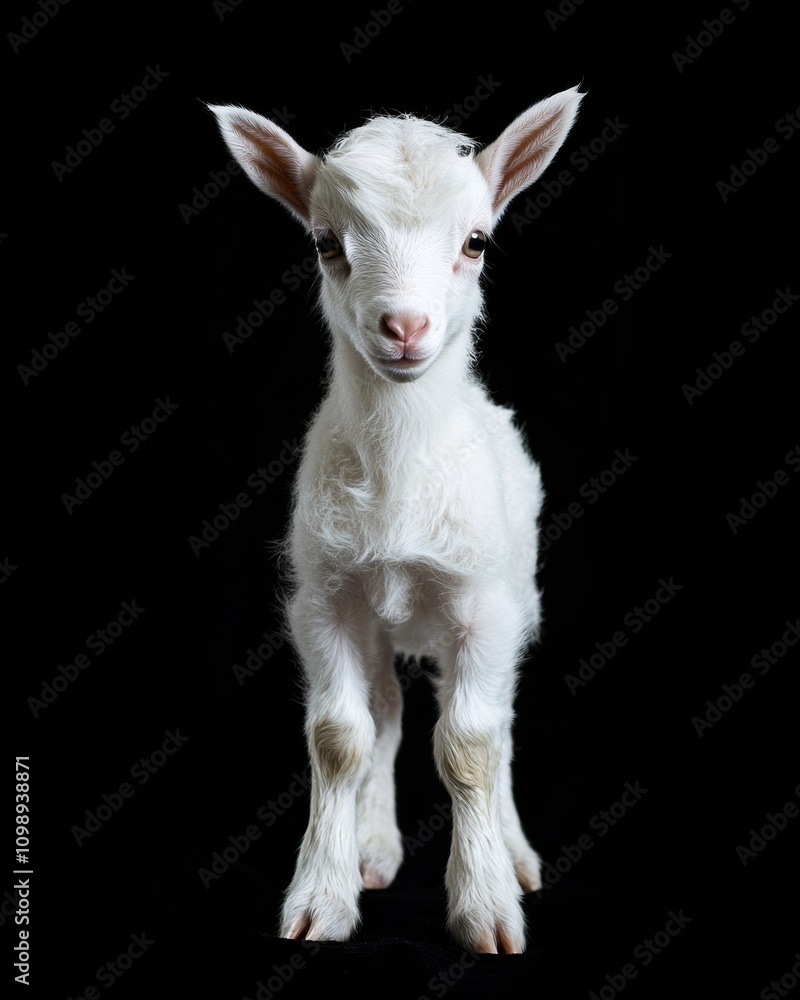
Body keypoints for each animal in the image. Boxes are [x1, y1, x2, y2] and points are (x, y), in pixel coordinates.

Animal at [210, 86, 582, 954]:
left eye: (476, 241)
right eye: (324, 243)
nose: (405, 328)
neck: (399, 473)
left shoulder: (482, 604)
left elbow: (471, 745)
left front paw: (484, 908)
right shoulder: (324, 601)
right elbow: (340, 739)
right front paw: (322, 896)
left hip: (513, 596)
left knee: (494, 724)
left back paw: (512, 854)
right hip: (377, 619)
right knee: (385, 713)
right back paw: (373, 849)